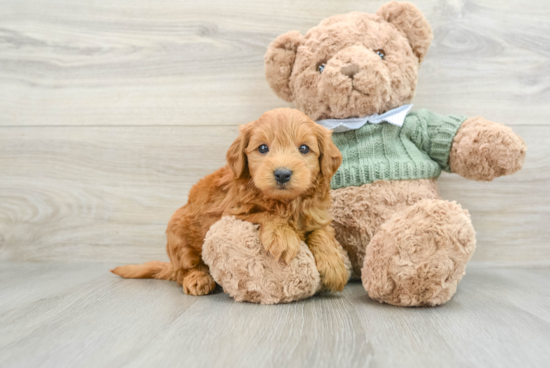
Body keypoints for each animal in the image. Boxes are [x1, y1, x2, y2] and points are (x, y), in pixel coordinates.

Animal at [112, 107, 350, 296]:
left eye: (304, 148)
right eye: (263, 148)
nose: (282, 174)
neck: (284, 202)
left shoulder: (315, 214)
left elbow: (321, 231)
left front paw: (334, 266)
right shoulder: (230, 211)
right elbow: (264, 213)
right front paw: (282, 236)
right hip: (178, 232)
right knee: (185, 269)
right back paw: (198, 278)